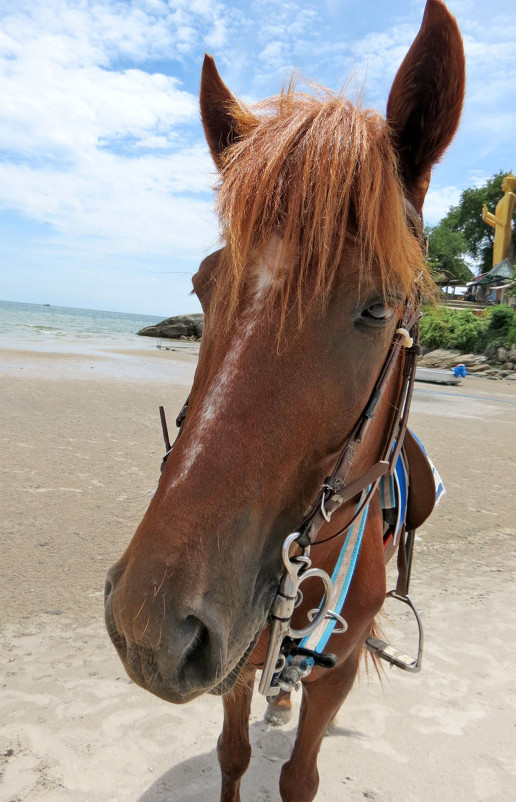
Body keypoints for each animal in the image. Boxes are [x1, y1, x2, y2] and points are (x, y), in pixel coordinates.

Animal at [104, 3, 464, 796]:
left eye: (378, 306)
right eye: (203, 284)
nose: (150, 628)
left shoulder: (341, 669)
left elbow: (301, 775)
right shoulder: (237, 657)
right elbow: (234, 755)